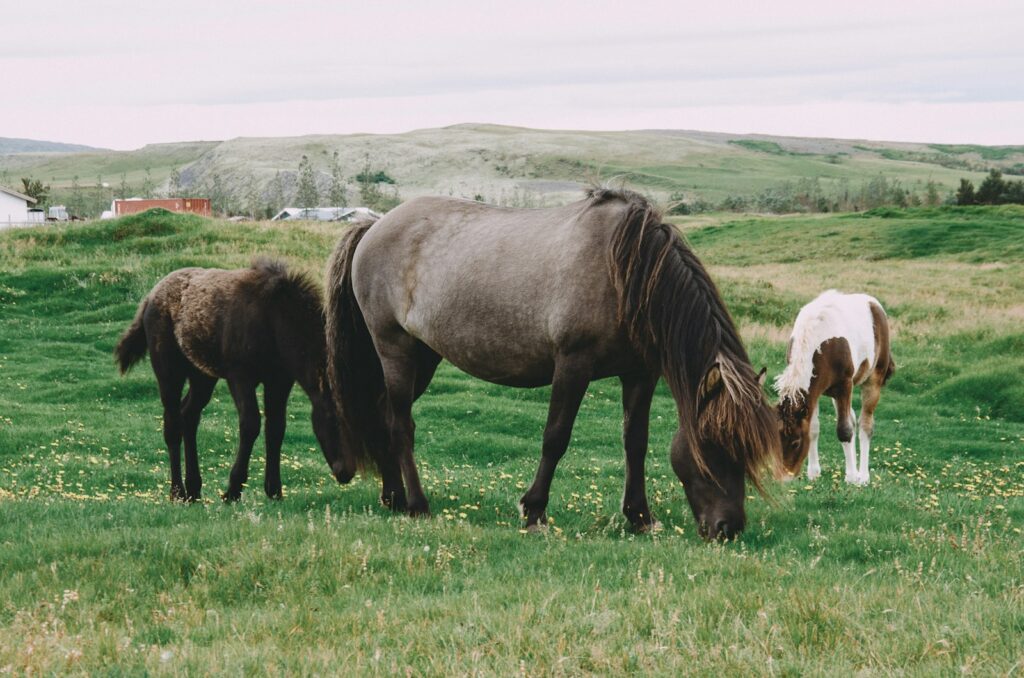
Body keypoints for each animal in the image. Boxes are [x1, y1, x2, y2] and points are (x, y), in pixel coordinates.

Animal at [115, 259, 351, 502]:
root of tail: (149, 298)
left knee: (188, 415)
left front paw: (274, 490)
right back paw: (178, 492)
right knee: (172, 423)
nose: (346, 472)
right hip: (169, 371)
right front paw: (233, 490)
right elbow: (250, 424)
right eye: (333, 418)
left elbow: (276, 428)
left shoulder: (279, 382)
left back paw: (194, 489)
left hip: (202, 376)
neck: (273, 322)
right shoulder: (240, 377)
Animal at [325, 188, 779, 540]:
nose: (728, 527)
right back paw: (418, 504)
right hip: (395, 349)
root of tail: (376, 225)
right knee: (401, 424)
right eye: (714, 444)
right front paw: (534, 512)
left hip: (424, 356)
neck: (624, 271)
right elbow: (555, 438)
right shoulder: (573, 366)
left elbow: (636, 442)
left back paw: (393, 497)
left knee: (383, 418)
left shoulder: (639, 374)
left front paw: (639, 517)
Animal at [774, 290, 895, 485]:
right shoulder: (815, 394)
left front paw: (852, 478)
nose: (784, 478)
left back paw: (862, 476)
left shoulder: (844, 385)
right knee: (852, 419)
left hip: (873, 381)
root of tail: (873, 303)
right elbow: (814, 428)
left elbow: (844, 430)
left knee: (865, 425)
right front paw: (814, 473)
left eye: (796, 442)